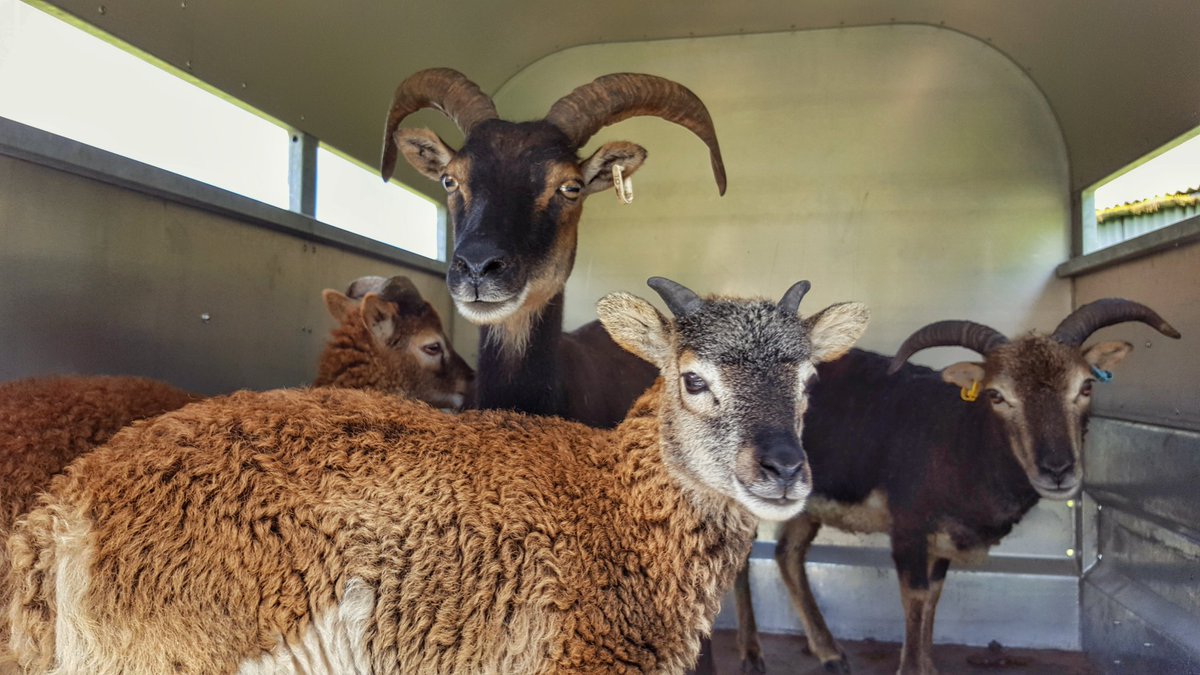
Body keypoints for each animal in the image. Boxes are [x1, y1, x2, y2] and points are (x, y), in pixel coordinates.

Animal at [732, 298, 1181, 675]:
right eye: (997, 395)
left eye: (1086, 386)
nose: (1057, 469)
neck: (960, 439)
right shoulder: (909, 525)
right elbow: (915, 596)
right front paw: (912, 668)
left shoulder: (943, 536)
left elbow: (934, 595)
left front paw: (928, 665)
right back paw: (752, 656)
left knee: (788, 555)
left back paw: (829, 652)